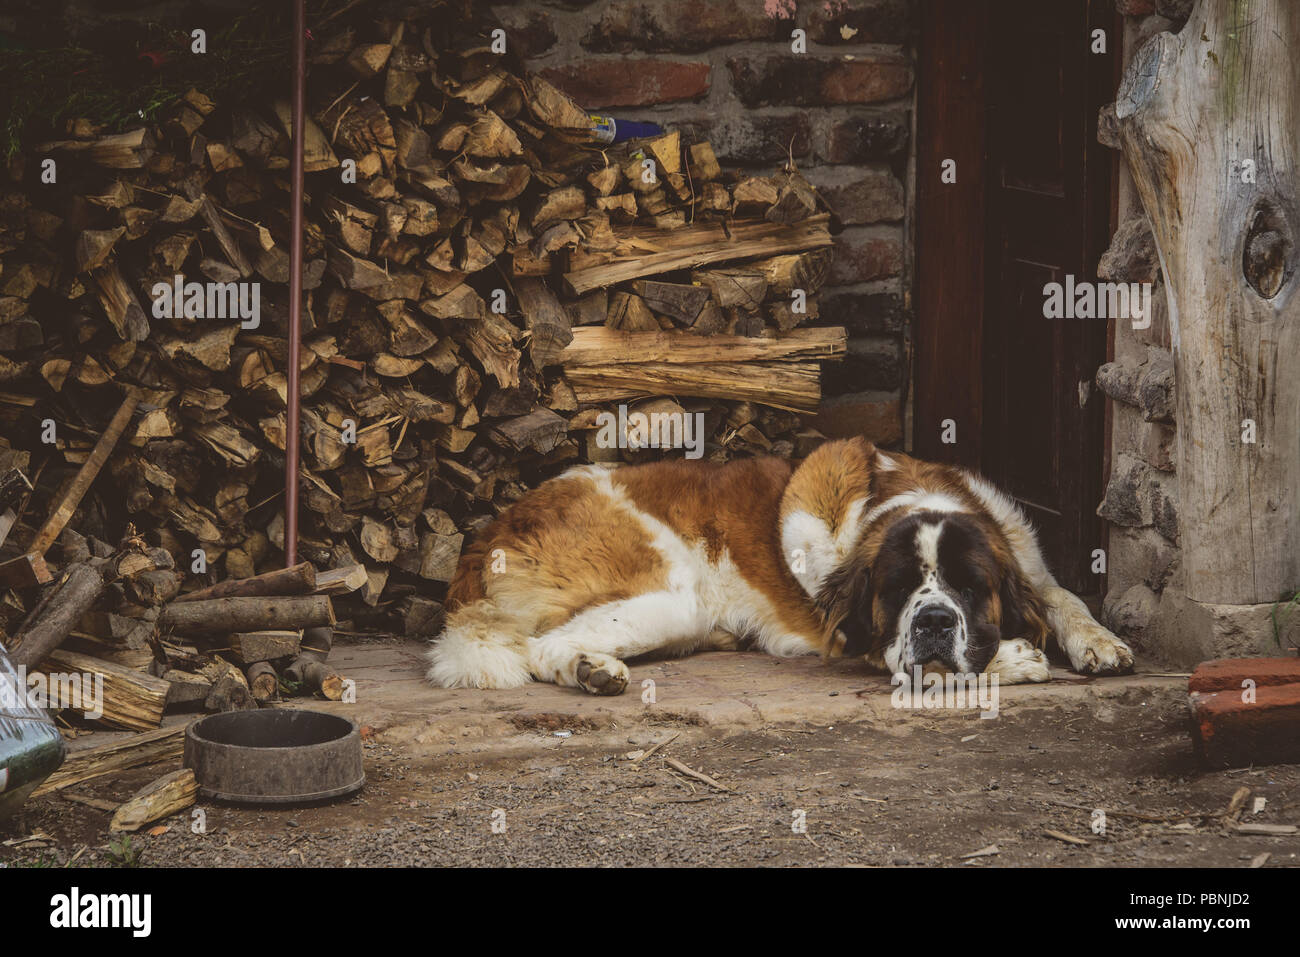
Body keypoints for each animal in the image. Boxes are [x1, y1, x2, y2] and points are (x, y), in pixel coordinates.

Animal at [423, 439, 1128, 696]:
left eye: (968, 585)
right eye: (899, 590)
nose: (930, 621)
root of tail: (491, 528)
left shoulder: (1025, 559)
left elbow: (1062, 596)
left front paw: (1101, 642)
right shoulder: (858, 639)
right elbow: (924, 664)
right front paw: (1015, 658)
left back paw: (595, 670)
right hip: (672, 597)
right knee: (541, 646)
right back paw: (593, 671)